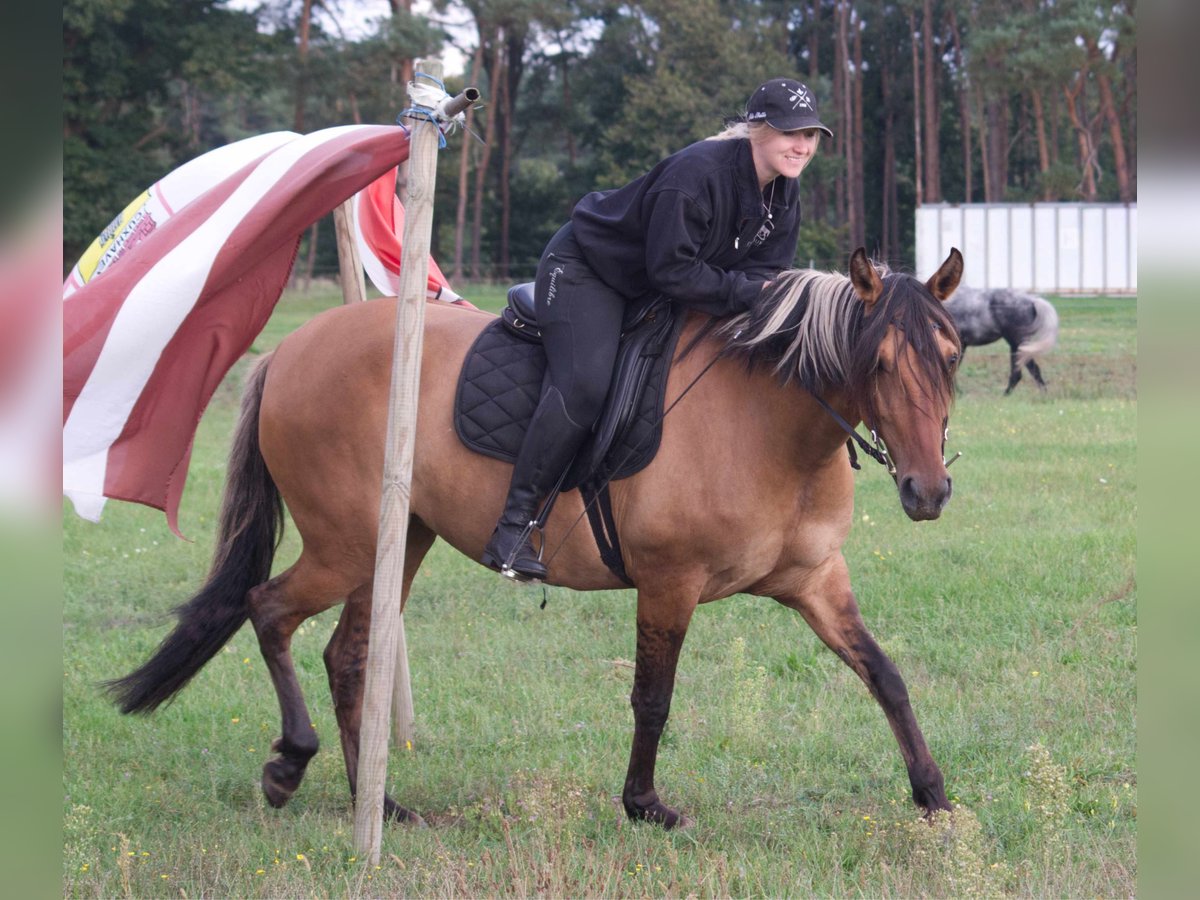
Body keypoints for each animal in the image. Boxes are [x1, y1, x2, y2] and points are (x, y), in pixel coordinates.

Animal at [110, 247, 964, 830]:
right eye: (878, 361)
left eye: (953, 356)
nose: (928, 492)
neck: (771, 426)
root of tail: (287, 350)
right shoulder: (670, 583)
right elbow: (652, 697)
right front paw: (644, 804)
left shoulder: (816, 581)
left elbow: (885, 676)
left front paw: (932, 793)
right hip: (342, 547)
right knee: (267, 610)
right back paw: (291, 763)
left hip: (398, 542)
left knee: (347, 656)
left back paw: (375, 803)